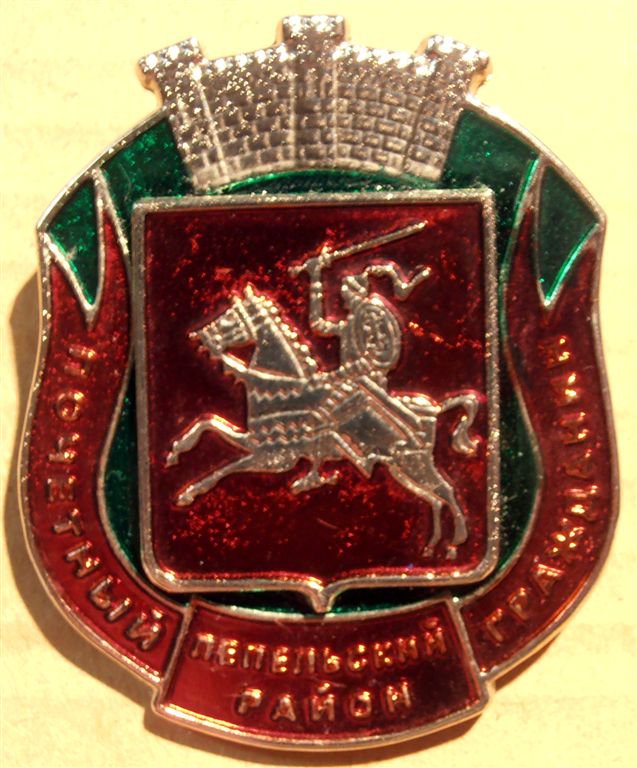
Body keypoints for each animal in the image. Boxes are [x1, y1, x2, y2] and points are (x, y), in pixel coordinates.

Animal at [165, 285, 480, 559]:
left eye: (231, 318)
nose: (201, 336)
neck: (281, 387)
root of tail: (436, 406)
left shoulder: (276, 457)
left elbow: (224, 469)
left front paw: (189, 493)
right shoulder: (255, 441)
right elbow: (207, 426)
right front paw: (176, 452)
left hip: (413, 461)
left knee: (446, 491)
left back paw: (456, 542)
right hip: (401, 468)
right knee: (434, 499)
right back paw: (432, 546)